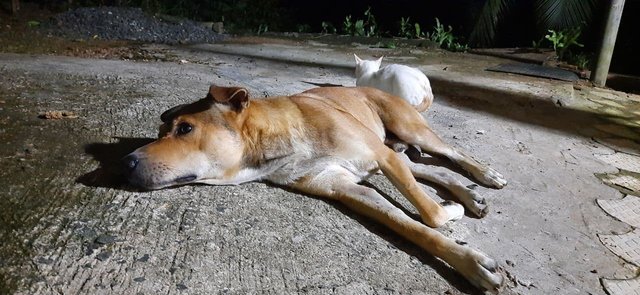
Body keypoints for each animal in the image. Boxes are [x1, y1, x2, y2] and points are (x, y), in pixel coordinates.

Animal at [122, 84, 508, 292]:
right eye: (162, 132)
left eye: (185, 129)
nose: (126, 163)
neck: (278, 141)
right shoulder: (349, 189)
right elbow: (414, 226)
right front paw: (469, 258)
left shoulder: (380, 156)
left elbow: (430, 215)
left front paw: (453, 218)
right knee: (430, 171)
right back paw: (470, 195)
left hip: (407, 129)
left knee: (452, 153)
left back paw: (486, 175)